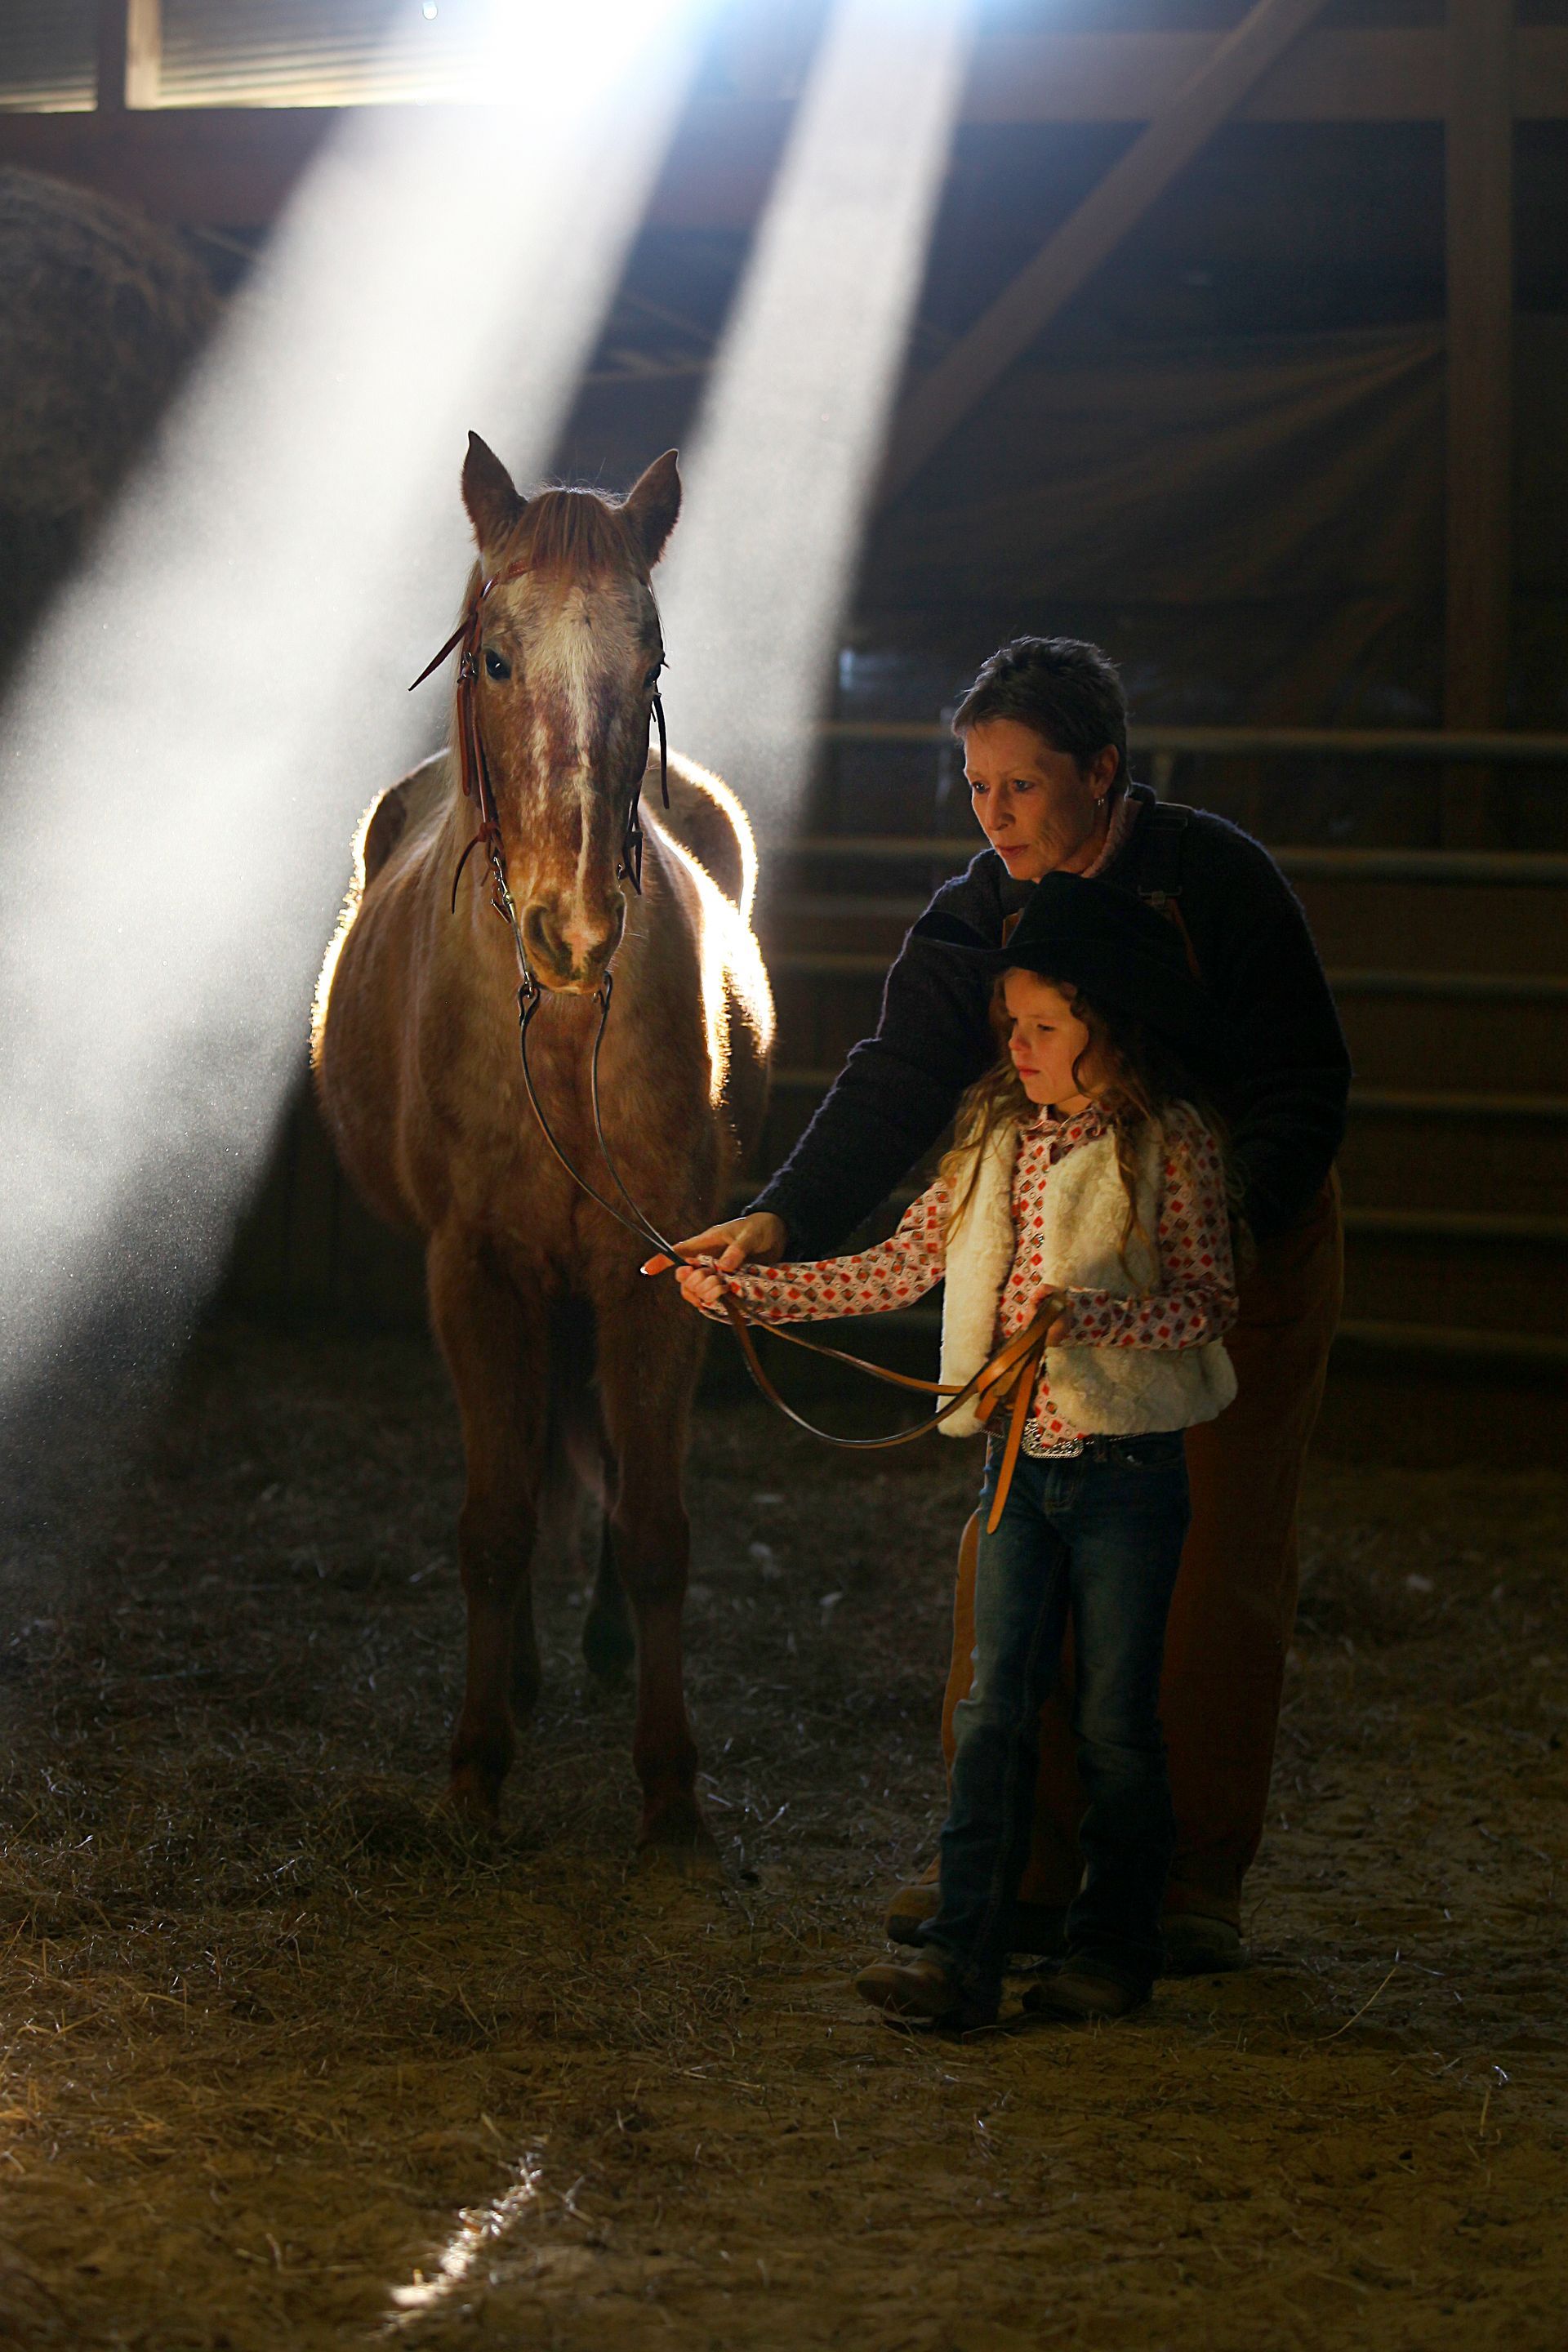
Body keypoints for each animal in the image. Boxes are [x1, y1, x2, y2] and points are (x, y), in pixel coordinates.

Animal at [312, 437, 773, 1860]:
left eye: (652, 654)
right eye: (498, 659)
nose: (574, 930)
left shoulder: (657, 1281)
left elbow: (656, 1523)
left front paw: (670, 1787)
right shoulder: (473, 1277)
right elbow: (495, 1520)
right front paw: (475, 1765)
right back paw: (514, 1677)